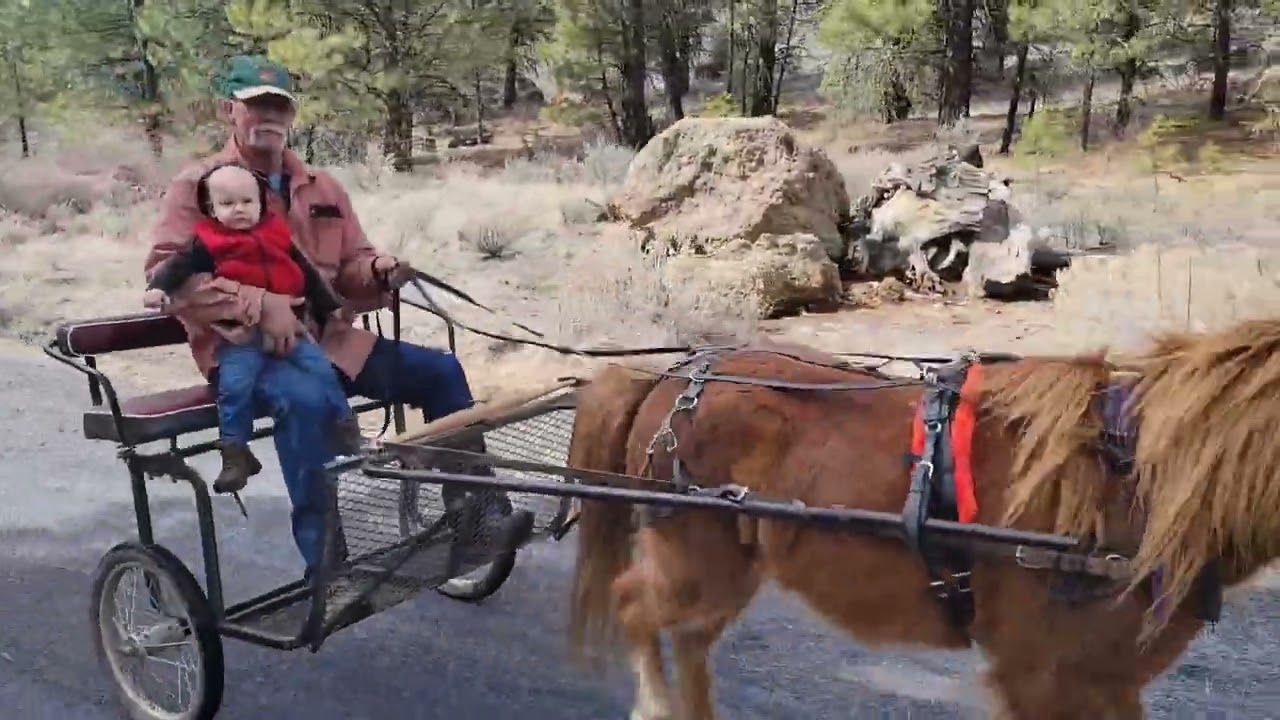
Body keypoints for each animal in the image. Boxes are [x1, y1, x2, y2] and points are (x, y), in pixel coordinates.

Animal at [562, 319, 1280, 719]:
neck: (1136, 479)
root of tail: (669, 378)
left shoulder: (1109, 684)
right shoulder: (1045, 679)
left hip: (730, 569)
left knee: (687, 637)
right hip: (694, 560)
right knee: (635, 606)